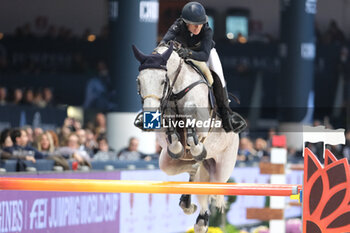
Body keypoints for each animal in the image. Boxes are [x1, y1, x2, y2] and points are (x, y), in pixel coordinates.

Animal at [133, 42, 239, 233]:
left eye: (163, 81)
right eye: (139, 81)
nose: (148, 119)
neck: (176, 88)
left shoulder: (203, 123)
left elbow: (191, 113)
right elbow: (173, 138)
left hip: (222, 169)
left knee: (211, 188)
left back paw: (202, 221)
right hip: (168, 163)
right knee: (192, 170)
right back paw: (188, 203)